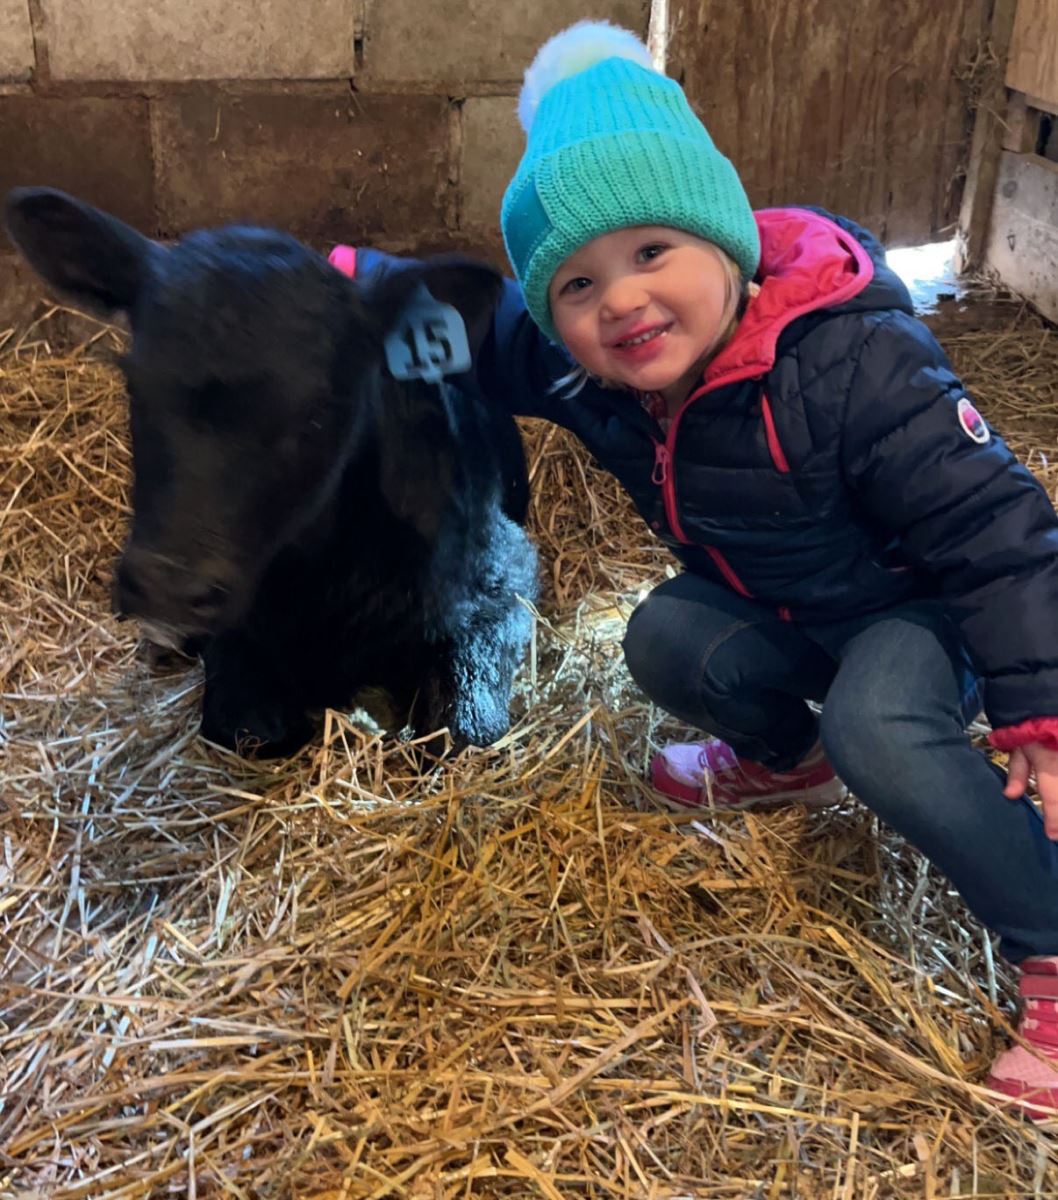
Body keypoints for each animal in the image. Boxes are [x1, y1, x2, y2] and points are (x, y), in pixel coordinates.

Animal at [5, 187, 538, 758]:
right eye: (134, 381)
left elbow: (467, 726)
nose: (168, 587)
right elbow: (247, 726)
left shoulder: (505, 577)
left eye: (321, 408)